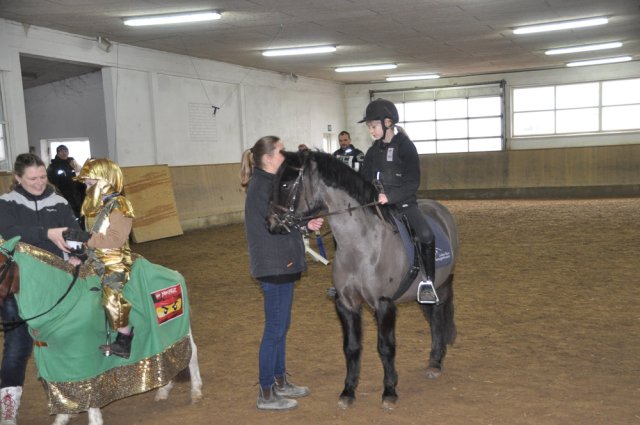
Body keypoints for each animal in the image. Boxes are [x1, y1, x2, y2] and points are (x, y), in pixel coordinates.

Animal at [0, 236, 202, 425]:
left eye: (1, 265)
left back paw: (195, 392)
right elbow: (61, 390)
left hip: (179, 327)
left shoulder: (83, 359)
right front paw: (63, 417)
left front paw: (94, 419)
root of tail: (173, 273)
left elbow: (90, 388)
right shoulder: (56, 361)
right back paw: (163, 390)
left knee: (191, 354)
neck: (63, 303)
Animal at [267, 150, 458, 410]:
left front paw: (389, 391)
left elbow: (386, 348)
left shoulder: (383, 304)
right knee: (432, 318)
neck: (360, 246)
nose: (271, 224)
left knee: (439, 316)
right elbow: (351, 347)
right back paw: (433, 360)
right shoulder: (346, 304)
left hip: (441, 283)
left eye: (285, 184)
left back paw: (436, 363)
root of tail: (439, 209)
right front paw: (348, 391)